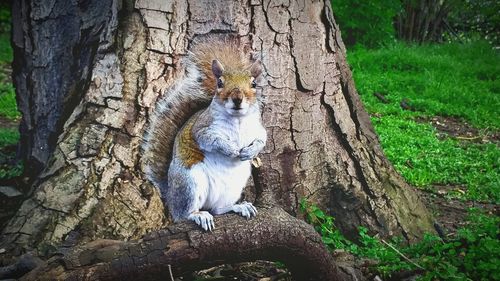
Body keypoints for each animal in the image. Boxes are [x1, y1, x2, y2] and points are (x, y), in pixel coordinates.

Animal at [143, 37, 268, 230]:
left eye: (253, 84)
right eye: (220, 83)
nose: (237, 98)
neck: (237, 120)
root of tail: (170, 194)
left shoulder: (258, 128)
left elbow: (262, 140)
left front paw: (250, 151)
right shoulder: (202, 128)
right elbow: (210, 140)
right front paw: (230, 149)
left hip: (231, 189)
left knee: (219, 209)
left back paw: (239, 207)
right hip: (189, 183)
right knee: (184, 214)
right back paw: (199, 215)